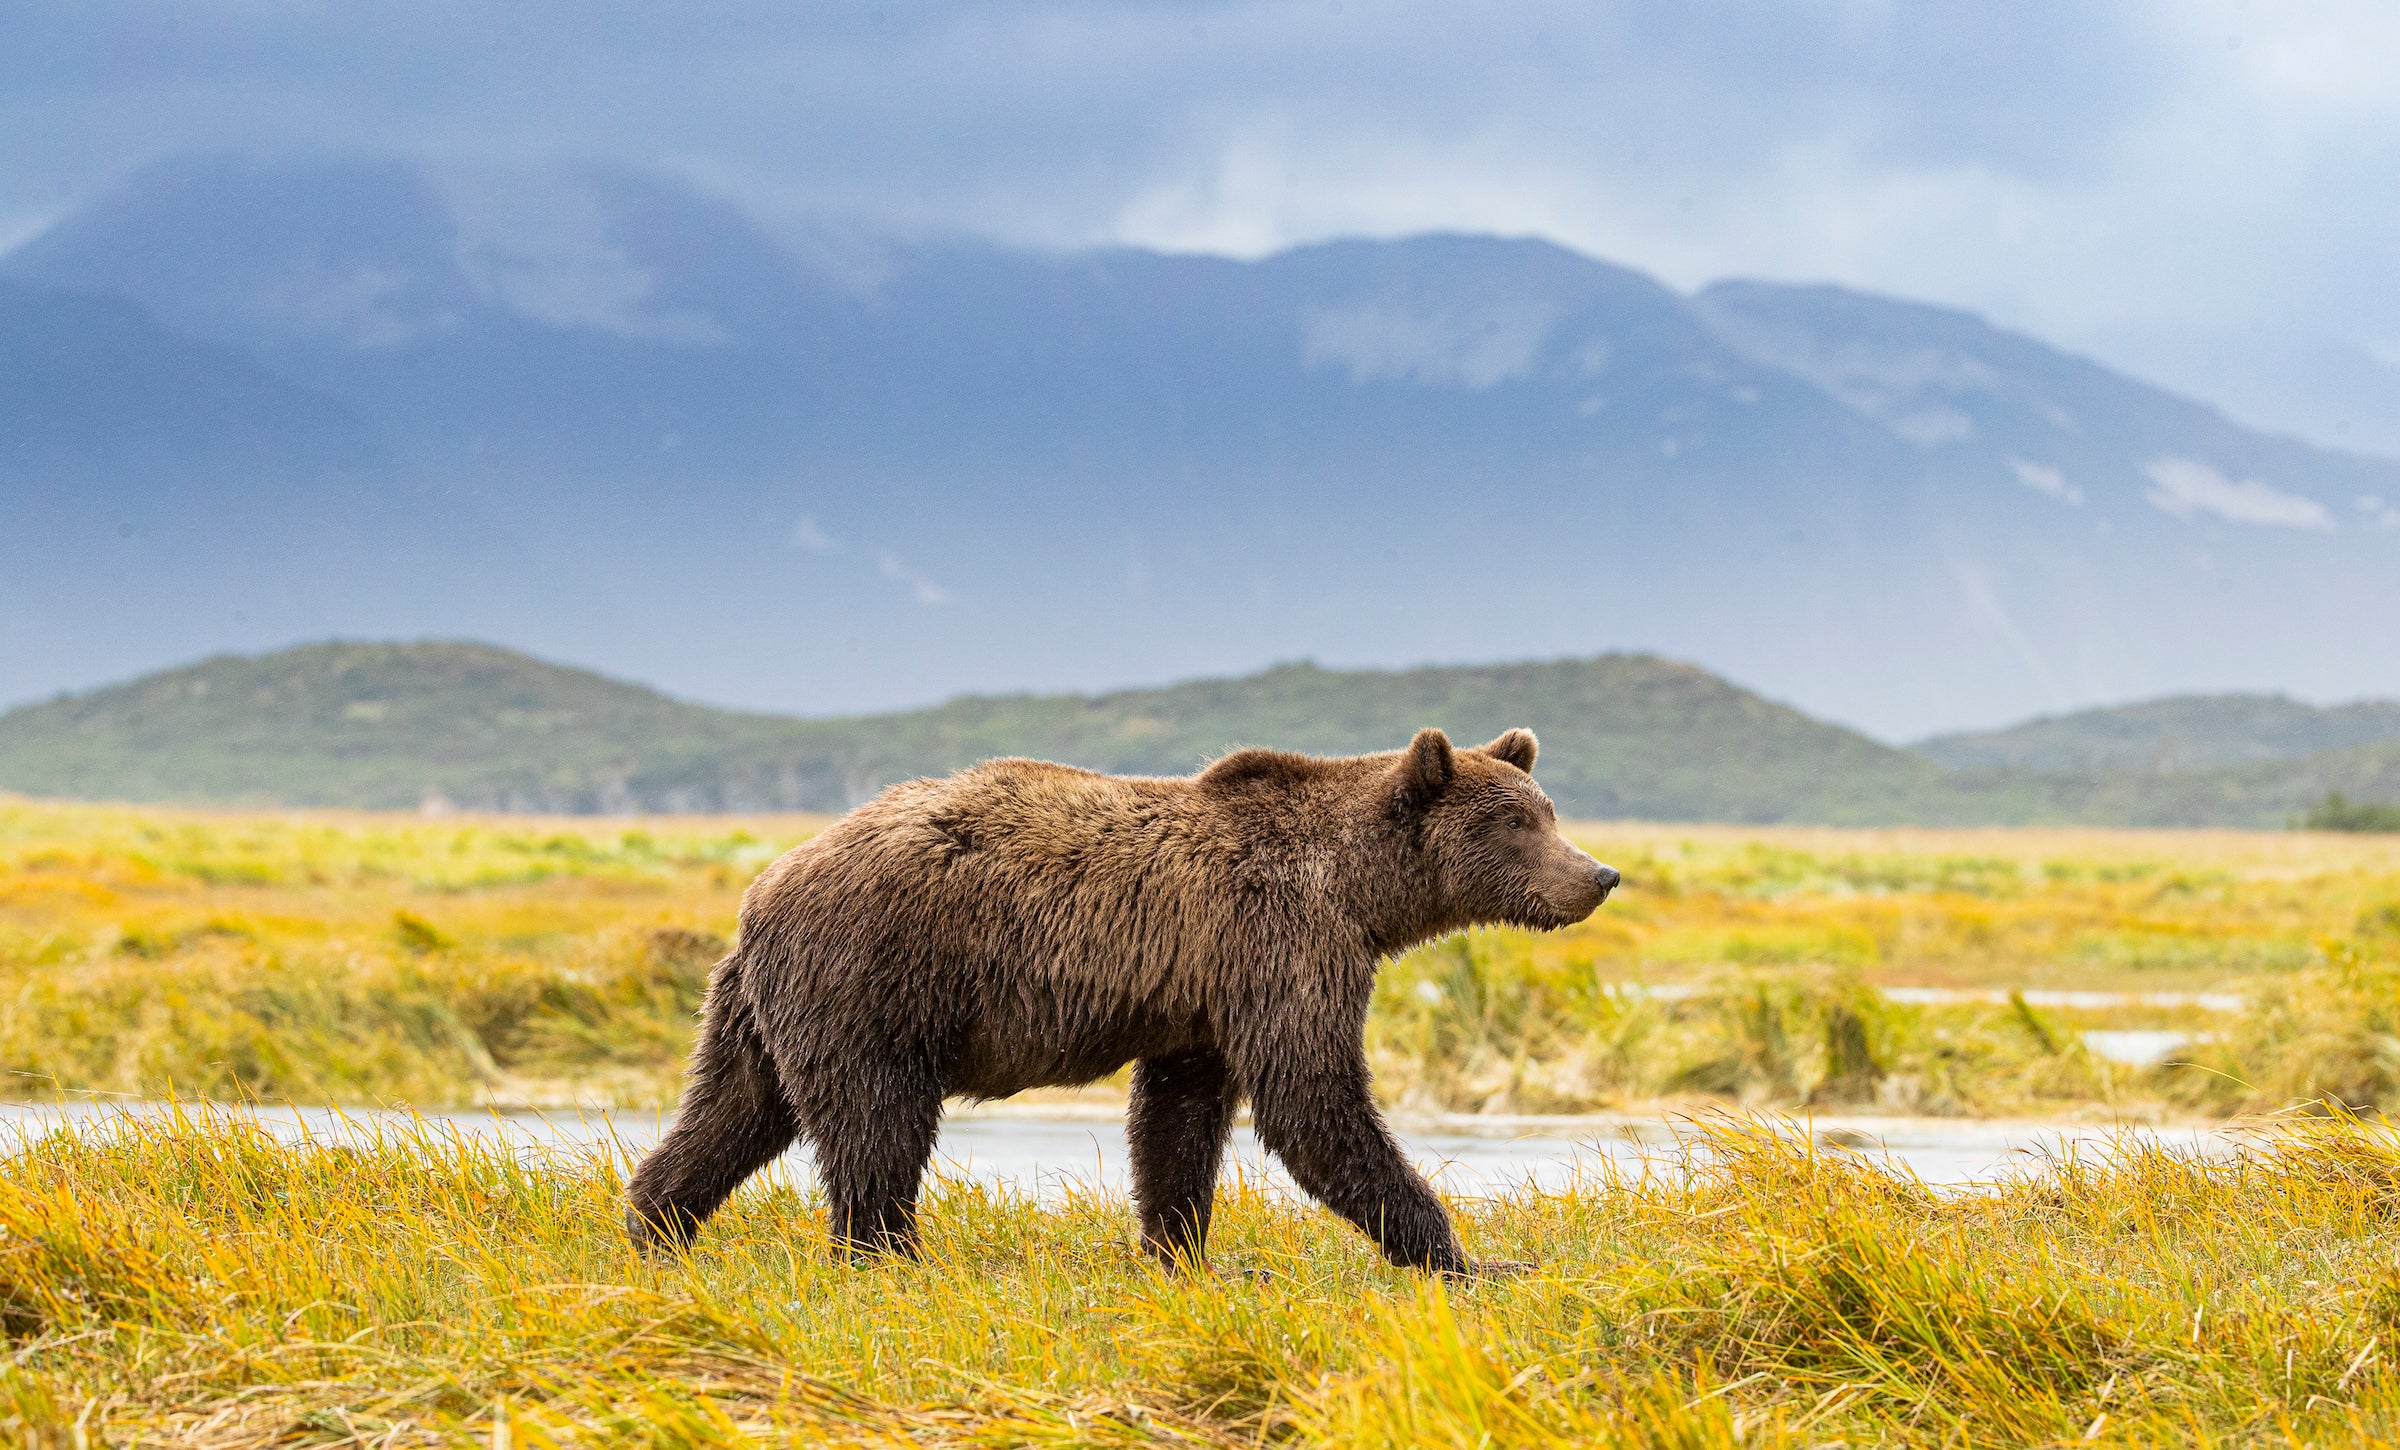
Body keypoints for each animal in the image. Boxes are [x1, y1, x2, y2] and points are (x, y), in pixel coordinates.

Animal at [624, 726, 1620, 1275]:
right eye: (1518, 823)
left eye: (1550, 810)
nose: (1599, 875)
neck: (1362, 892)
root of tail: (763, 889)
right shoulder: (1282, 942)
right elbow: (1313, 1099)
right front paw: (1471, 1256)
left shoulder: (1207, 993)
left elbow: (1179, 1117)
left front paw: (1182, 1252)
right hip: (875, 981)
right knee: (878, 1125)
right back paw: (891, 1257)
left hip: (760, 1006)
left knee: (734, 1109)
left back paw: (653, 1223)